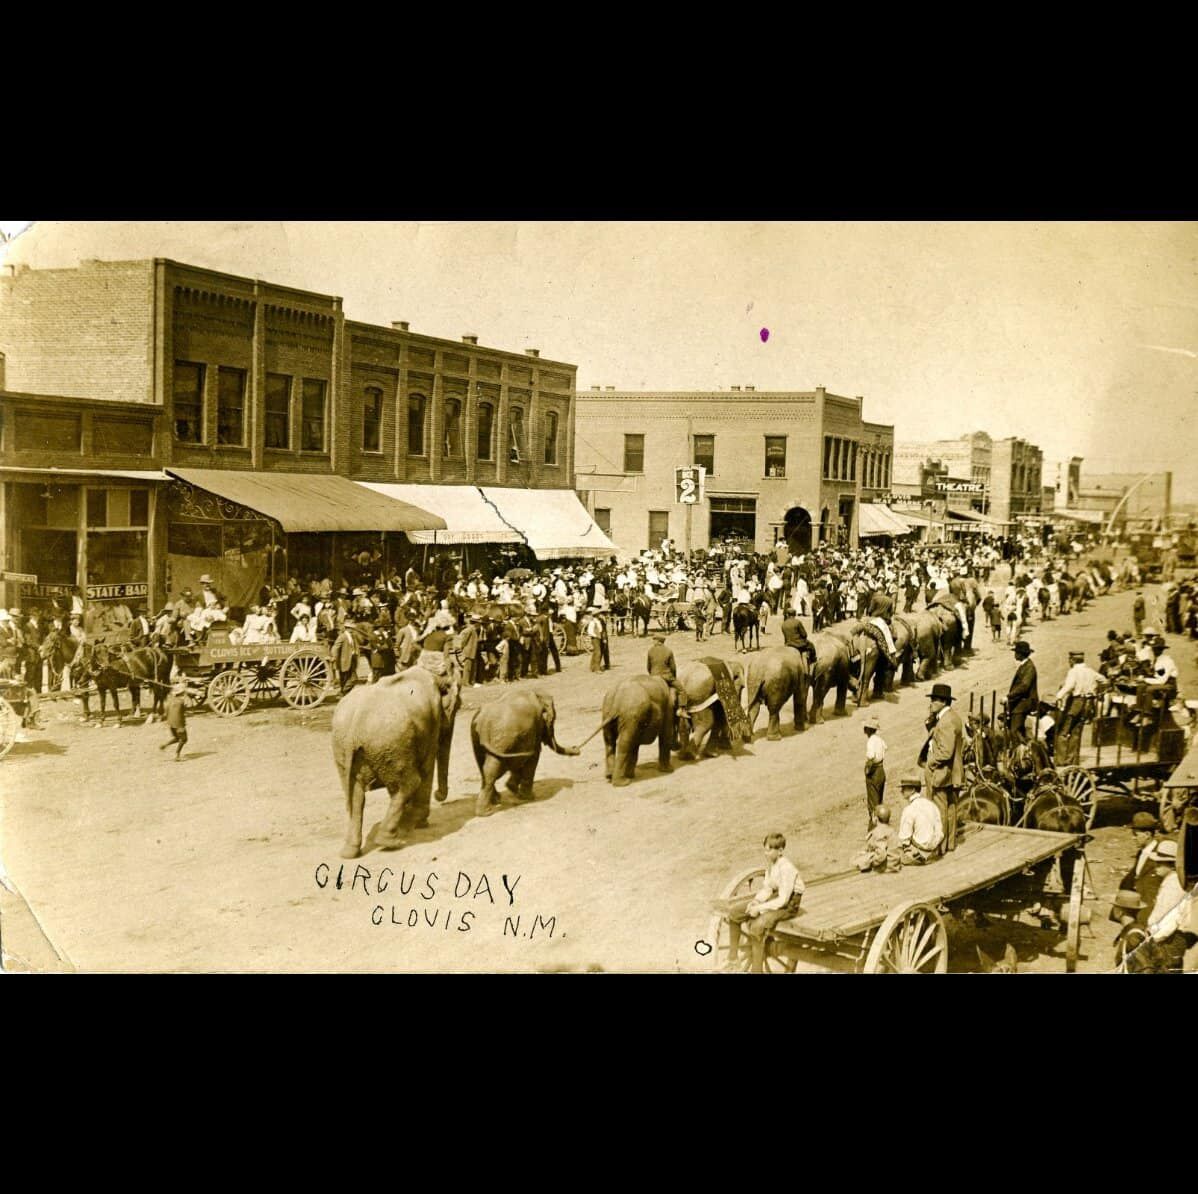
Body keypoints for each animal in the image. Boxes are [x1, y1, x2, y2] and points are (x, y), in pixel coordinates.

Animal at [333, 665, 462, 852]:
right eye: (458, 707)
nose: (439, 795)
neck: (436, 676)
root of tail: (355, 725)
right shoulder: (432, 722)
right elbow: (427, 767)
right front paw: (420, 822)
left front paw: (409, 821)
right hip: (390, 743)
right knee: (410, 783)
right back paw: (390, 842)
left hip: (346, 749)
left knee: (356, 795)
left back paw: (350, 851)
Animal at [467, 685, 579, 814]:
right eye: (553, 720)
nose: (577, 748)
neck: (538, 694)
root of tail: (483, 722)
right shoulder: (534, 728)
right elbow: (534, 756)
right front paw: (528, 797)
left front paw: (513, 789)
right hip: (502, 738)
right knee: (492, 767)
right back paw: (486, 811)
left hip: (479, 738)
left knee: (483, 766)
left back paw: (495, 801)